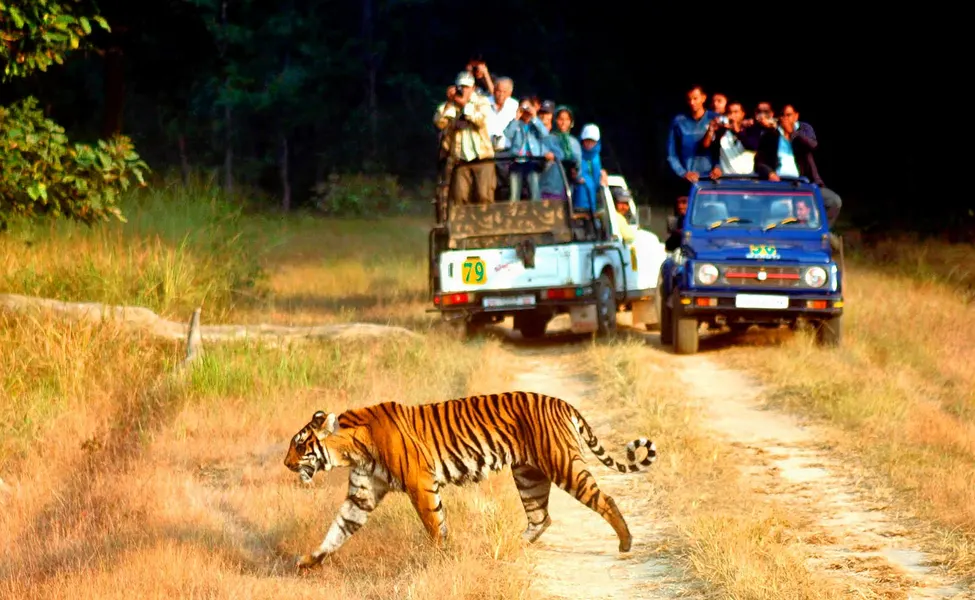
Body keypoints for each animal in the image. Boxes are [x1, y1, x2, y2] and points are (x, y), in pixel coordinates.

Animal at [286, 390, 660, 568]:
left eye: (300, 445)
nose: (286, 463)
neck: (351, 449)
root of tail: (562, 403)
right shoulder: (361, 495)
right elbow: (337, 530)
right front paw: (309, 562)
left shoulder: (420, 484)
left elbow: (435, 525)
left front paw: (440, 557)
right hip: (528, 475)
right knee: (541, 517)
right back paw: (508, 548)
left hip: (563, 464)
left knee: (604, 499)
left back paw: (626, 543)